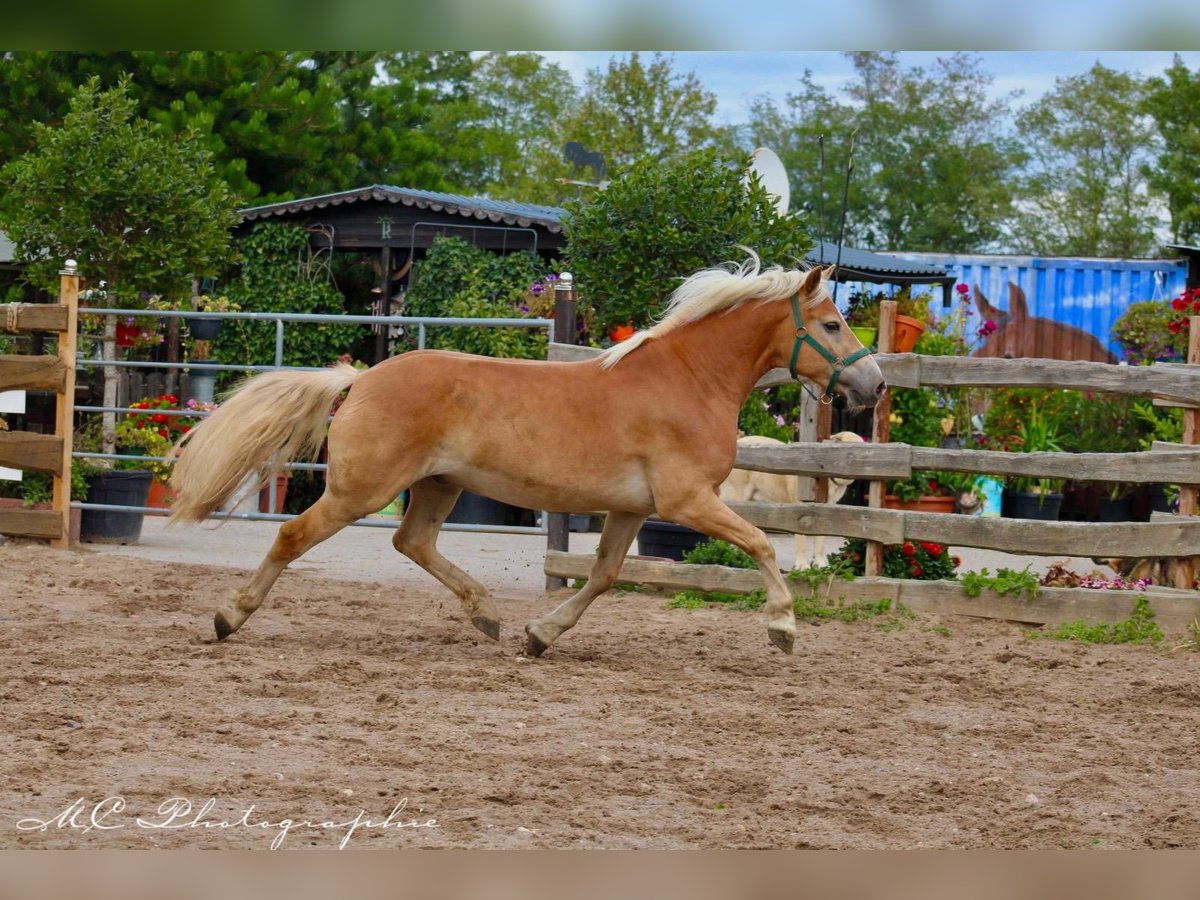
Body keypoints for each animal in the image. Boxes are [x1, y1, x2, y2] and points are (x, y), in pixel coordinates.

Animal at [166, 256, 883, 657]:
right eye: (831, 324)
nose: (873, 384)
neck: (688, 380)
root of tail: (362, 378)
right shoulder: (687, 502)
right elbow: (761, 544)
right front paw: (784, 628)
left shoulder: (632, 509)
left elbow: (604, 576)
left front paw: (541, 635)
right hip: (360, 490)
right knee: (293, 535)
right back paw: (229, 617)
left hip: (439, 485)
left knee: (413, 543)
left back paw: (486, 615)